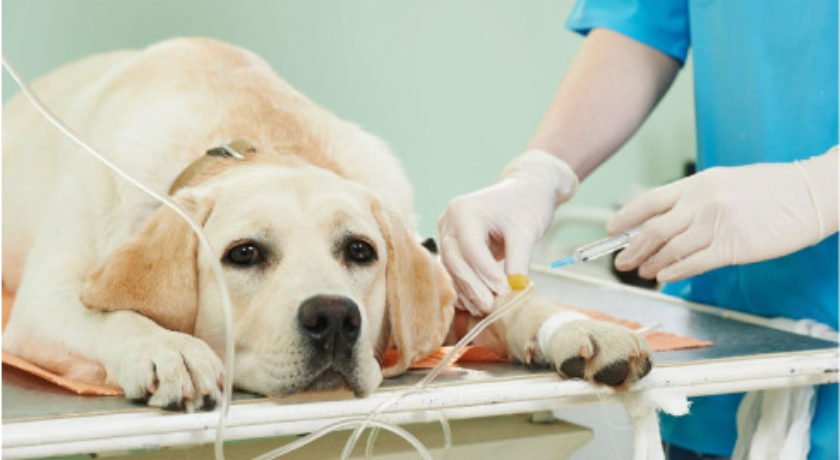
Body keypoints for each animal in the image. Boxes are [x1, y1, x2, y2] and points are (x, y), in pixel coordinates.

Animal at [3, 38, 652, 410]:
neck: (252, 136)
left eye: (360, 251)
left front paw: (576, 325)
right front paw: (168, 349)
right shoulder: (38, 307)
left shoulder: (440, 277)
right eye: (243, 254)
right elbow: (114, 315)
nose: (335, 318)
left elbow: (503, 302)